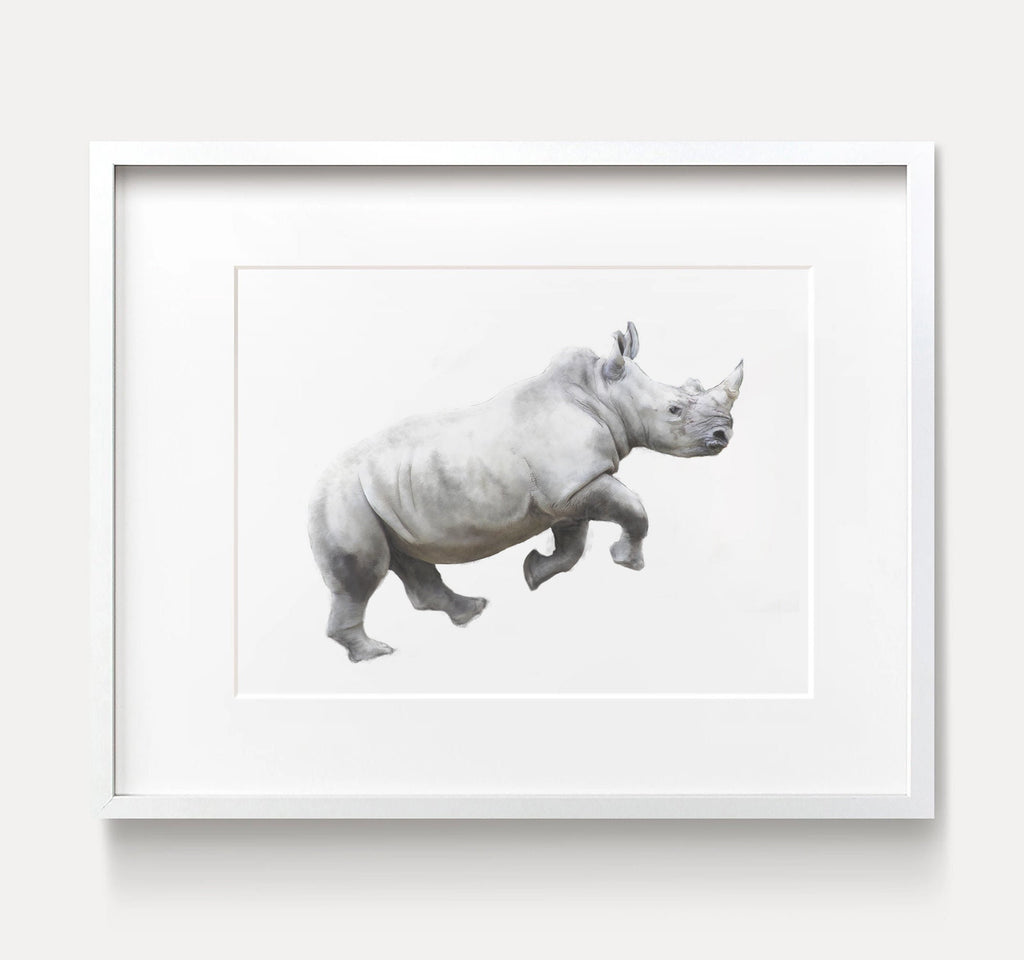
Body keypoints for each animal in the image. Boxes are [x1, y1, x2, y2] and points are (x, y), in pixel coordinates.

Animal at [308, 323, 743, 662]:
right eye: (674, 410)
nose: (723, 435)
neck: (602, 395)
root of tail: (315, 483)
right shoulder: (575, 486)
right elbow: (633, 508)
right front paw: (628, 562)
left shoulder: (568, 494)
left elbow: (573, 548)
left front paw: (533, 572)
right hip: (343, 497)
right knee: (366, 571)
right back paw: (376, 653)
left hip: (384, 493)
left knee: (407, 558)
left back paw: (471, 612)